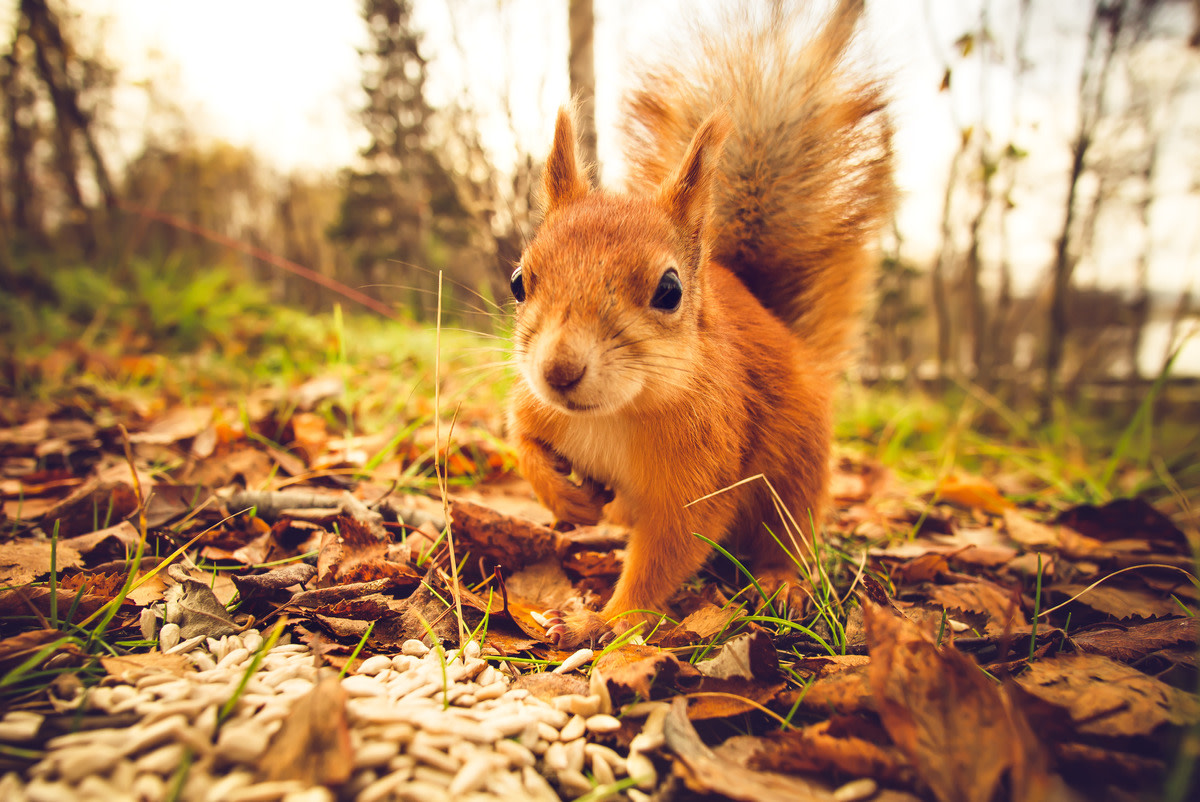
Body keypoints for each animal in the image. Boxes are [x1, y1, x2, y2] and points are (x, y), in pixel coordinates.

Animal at [506, 0, 894, 648]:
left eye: (669, 291)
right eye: (519, 281)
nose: (559, 370)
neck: (616, 414)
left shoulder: (705, 470)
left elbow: (671, 546)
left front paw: (609, 619)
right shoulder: (538, 406)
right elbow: (523, 439)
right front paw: (565, 497)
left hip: (795, 476)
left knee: (784, 539)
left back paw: (781, 584)